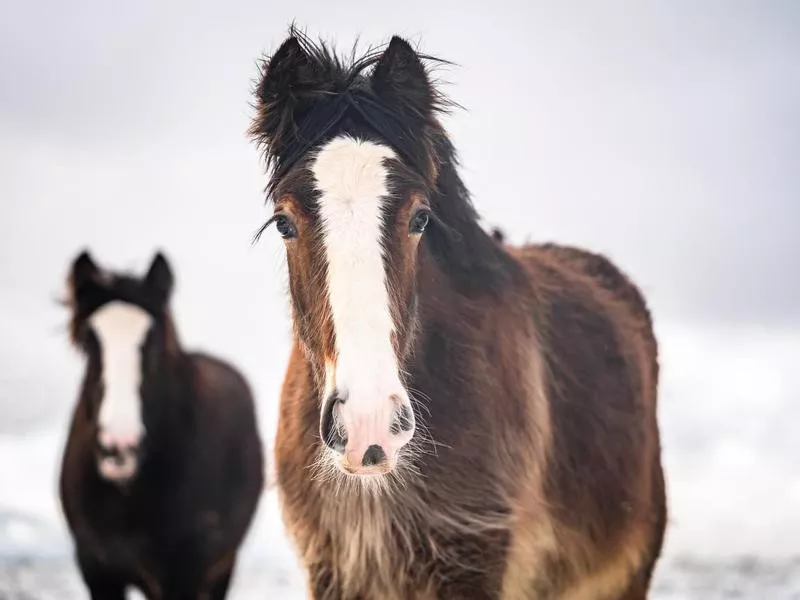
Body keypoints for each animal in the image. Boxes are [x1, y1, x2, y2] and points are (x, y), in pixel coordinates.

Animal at [61, 251, 266, 596]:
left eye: (153, 344)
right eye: (89, 343)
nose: (120, 446)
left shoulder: (184, 575)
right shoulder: (95, 568)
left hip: (222, 567)